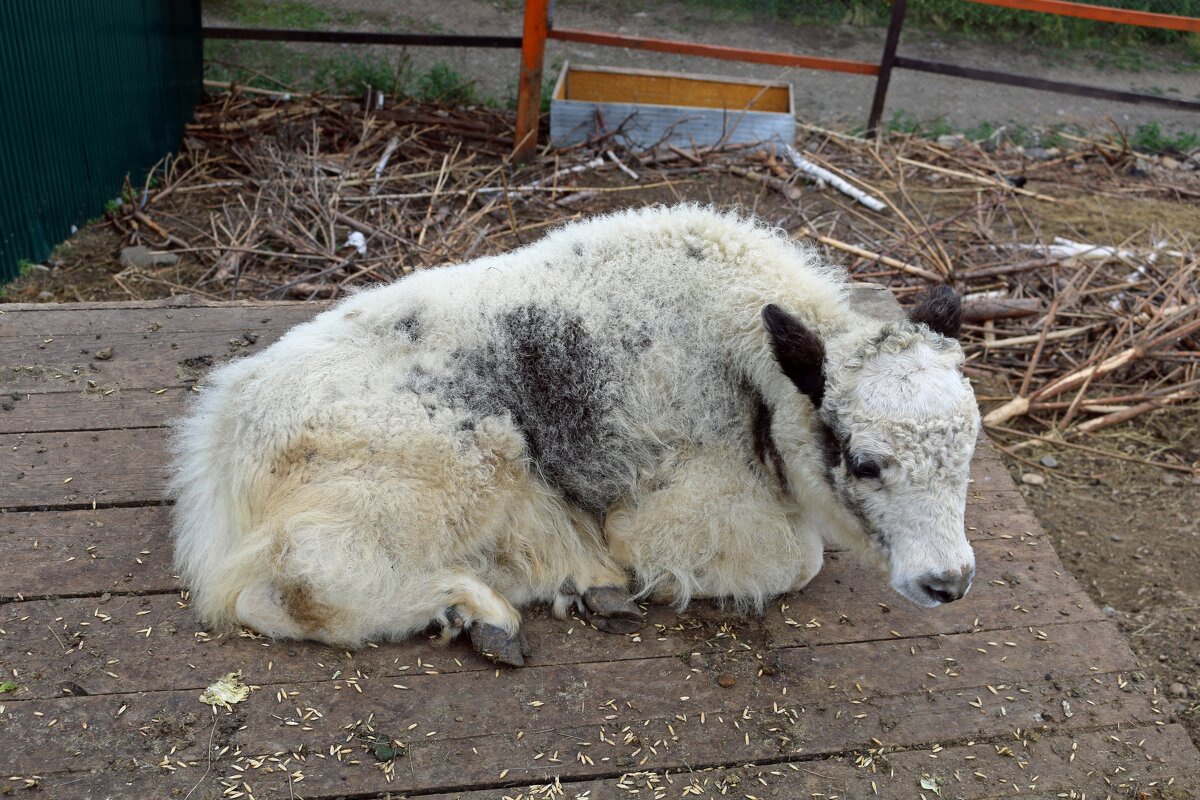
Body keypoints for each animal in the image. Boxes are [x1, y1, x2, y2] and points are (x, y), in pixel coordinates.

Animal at [171, 205, 984, 662]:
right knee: (290, 591)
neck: (741, 356)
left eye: (968, 453)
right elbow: (800, 559)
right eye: (864, 462)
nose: (947, 583)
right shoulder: (665, 517)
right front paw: (645, 582)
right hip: (457, 464)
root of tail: (225, 438)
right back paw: (483, 609)